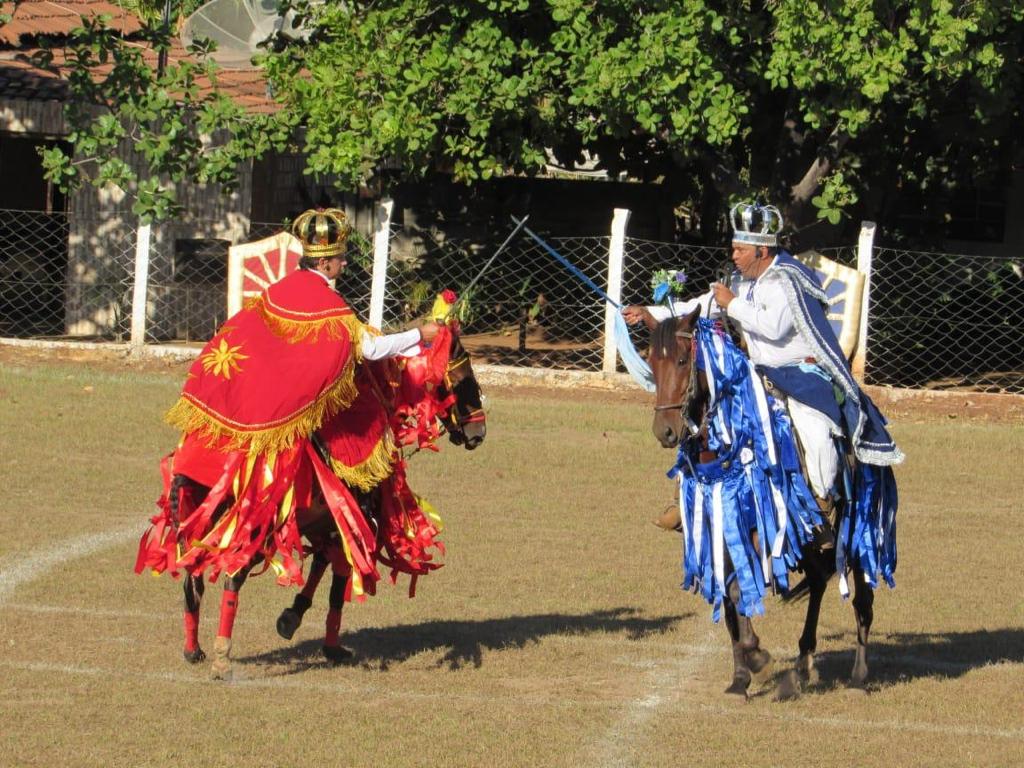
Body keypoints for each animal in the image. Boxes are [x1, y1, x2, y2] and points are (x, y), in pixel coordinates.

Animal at [152, 325, 487, 679]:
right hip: (252, 530)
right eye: (464, 380)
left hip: (199, 520)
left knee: (193, 579)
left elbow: (324, 565)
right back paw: (222, 657)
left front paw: (292, 618)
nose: (478, 433)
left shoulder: (321, 521)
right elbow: (338, 579)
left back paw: (193, 649)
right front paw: (326, 641)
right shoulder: (349, 519)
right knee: (232, 576)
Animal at [651, 309, 876, 700]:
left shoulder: (758, 532)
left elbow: (738, 591)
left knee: (862, 600)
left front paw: (757, 657)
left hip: (857, 530)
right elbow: (729, 600)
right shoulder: (716, 533)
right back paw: (800, 667)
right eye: (650, 363)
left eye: (681, 361)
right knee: (818, 581)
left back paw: (858, 677)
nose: (664, 431)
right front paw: (740, 677)